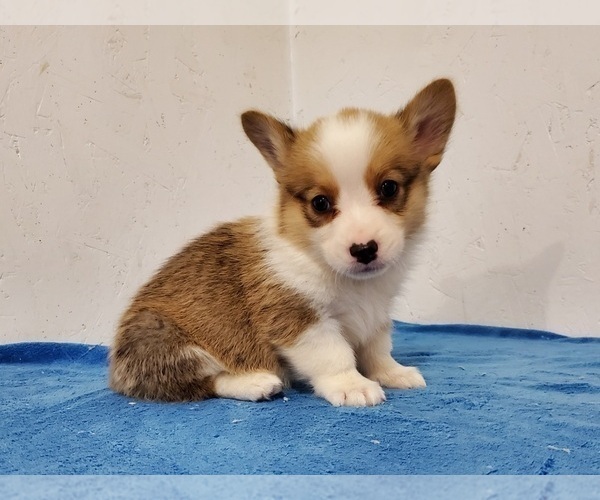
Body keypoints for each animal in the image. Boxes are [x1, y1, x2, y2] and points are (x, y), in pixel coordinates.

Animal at [109, 78, 454, 406]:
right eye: (320, 203)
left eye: (389, 188)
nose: (364, 250)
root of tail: (115, 374)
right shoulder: (299, 318)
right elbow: (334, 355)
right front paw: (352, 385)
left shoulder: (376, 316)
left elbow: (378, 349)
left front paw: (393, 373)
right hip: (161, 338)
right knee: (206, 381)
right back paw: (256, 382)